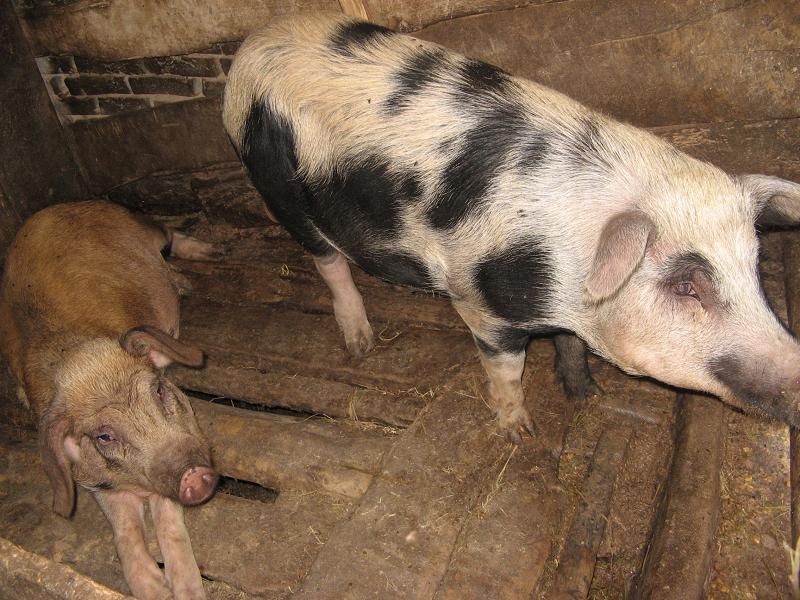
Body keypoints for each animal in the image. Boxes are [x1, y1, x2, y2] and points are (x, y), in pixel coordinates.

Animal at [0, 202, 219, 600]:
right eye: (105, 436)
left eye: (159, 391)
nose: (192, 475)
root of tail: (56, 208)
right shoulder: (94, 478)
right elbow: (124, 528)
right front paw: (154, 589)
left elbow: (168, 519)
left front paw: (189, 591)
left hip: (143, 228)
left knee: (167, 234)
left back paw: (198, 267)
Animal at [222, 12, 800, 440]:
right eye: (686, 286)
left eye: (755, 271)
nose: (797, 379)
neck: (567, 277)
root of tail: (249, 47)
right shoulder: (480, 303)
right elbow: (506, 369)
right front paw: (520, 432)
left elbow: (570, 346)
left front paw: (587, 395)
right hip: (276, 179)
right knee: (326, 258)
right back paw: (361, 344)